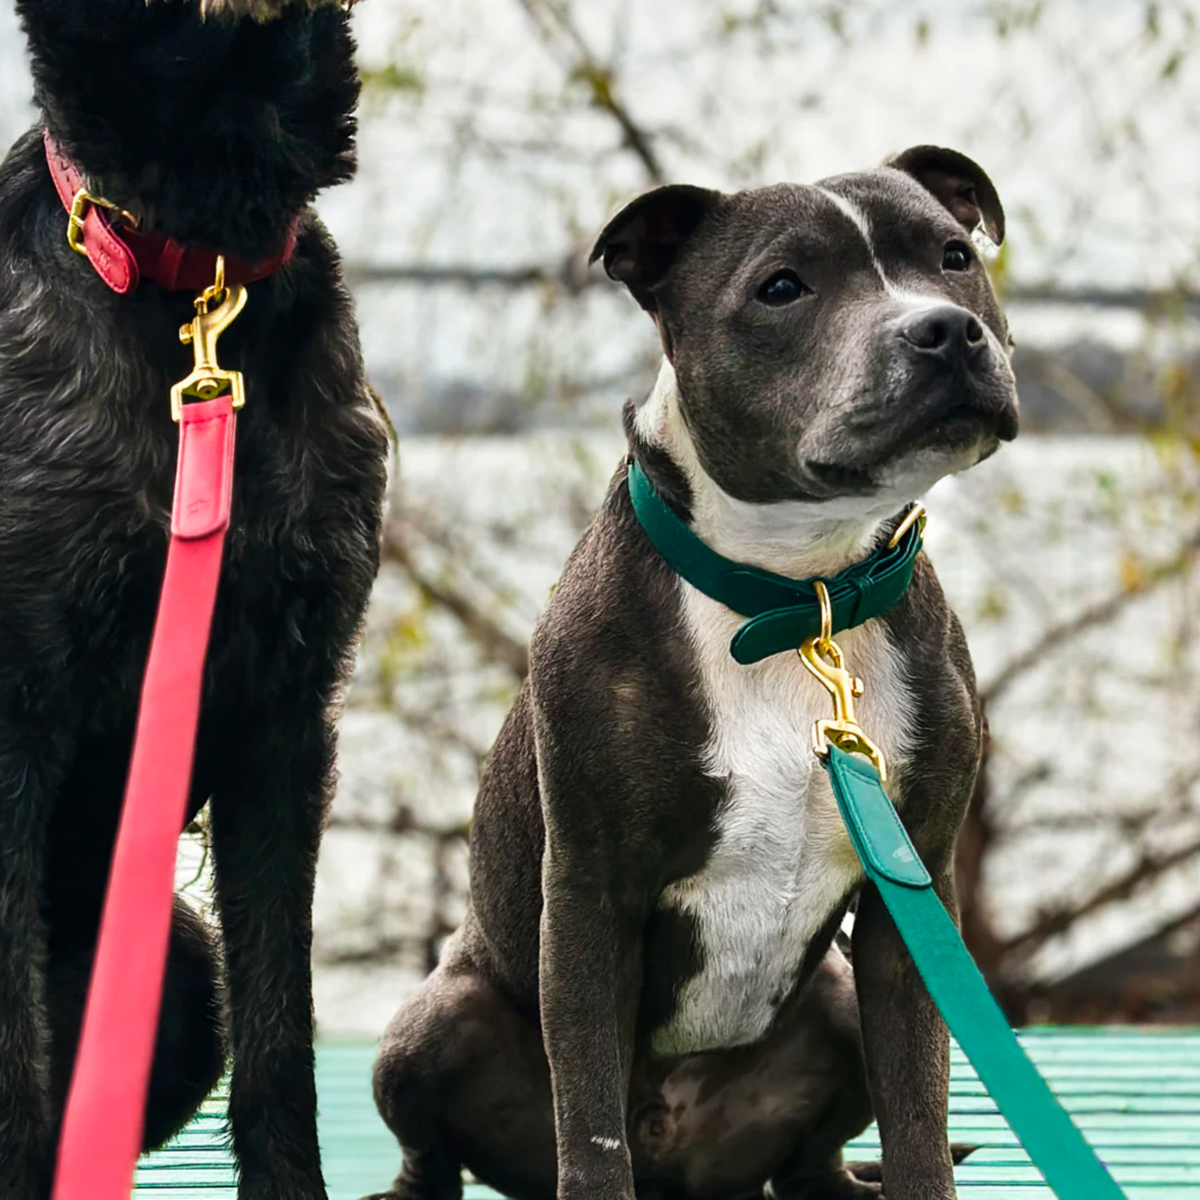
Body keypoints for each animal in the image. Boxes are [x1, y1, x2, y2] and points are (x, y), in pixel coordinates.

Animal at [364, 147, 1012, 1200]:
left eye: (954, 256)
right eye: (781, 288)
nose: (945, 330)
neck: (797, 595)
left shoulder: (911, 901)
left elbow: (918, 1109)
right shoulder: (590, 897)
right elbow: (589, 1129)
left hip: (835, 1001)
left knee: (811, 1161)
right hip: (431, 1025)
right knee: (438, 1147)